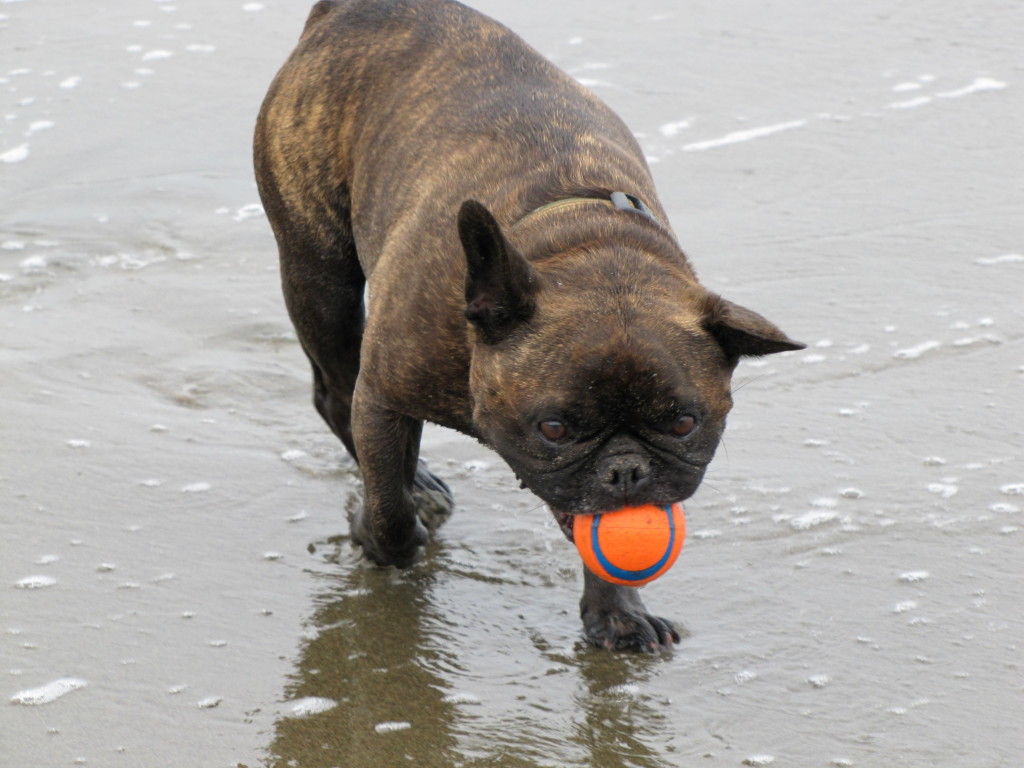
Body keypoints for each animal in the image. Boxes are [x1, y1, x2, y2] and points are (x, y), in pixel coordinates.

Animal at [251, 0, 802, 651]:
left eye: (685, 423)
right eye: (555, 429)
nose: (625, 470)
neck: (581, 243)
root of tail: (354, 10)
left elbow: (602, 548)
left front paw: (617, 614)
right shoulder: (384, 396)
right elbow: (389, 509)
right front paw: (382, 530)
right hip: (319, 278)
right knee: (335, 392)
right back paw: (416, 484)